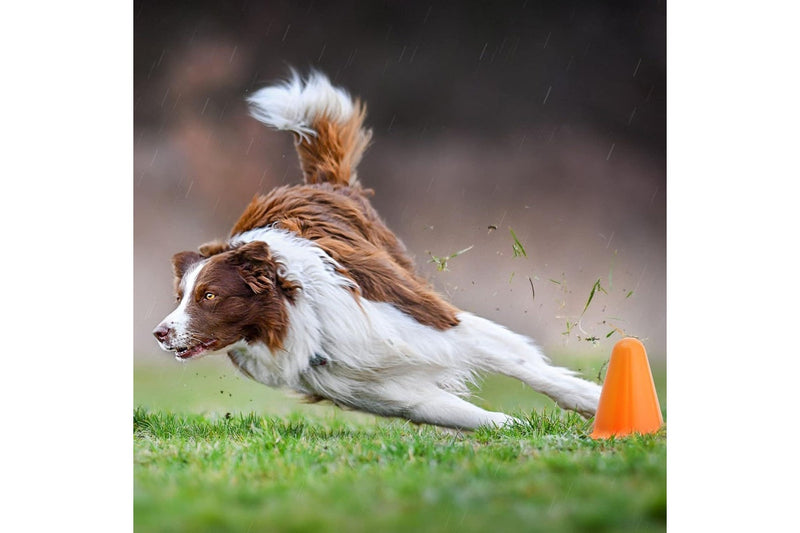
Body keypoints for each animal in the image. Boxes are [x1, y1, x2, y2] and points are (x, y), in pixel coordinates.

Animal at [152, 69, 600, 428]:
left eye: (209, 295)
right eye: (179, 297)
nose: (159, 333)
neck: (299, 317)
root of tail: (320, 182)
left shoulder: (432, 321)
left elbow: (528, 366)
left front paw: (594, 403)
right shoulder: (375, 388)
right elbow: (470, 415)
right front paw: (518, 428)